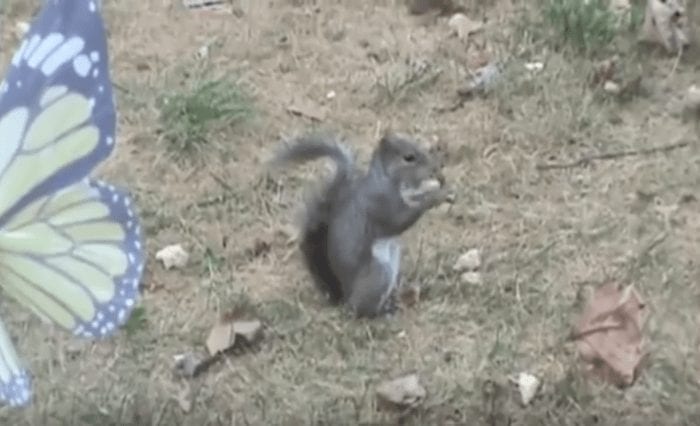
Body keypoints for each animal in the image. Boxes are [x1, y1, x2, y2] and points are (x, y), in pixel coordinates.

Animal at [268, 131, 451, 318]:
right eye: (409, 158)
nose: (437, 171)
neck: (387, 180)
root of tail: (345, 299)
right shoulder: (379, 203)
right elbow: (399, 219)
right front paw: (436, 195)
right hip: (379, 273)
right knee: (362, 309)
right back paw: (382, 313)